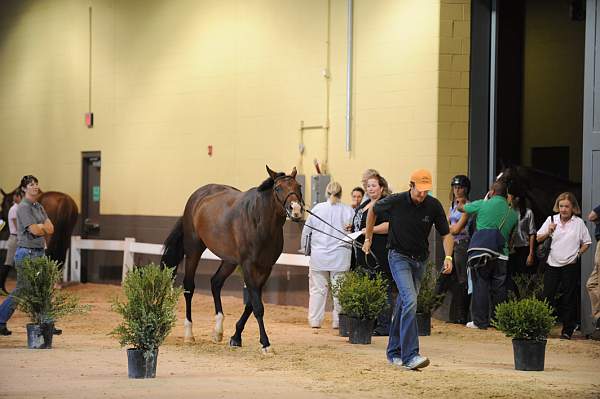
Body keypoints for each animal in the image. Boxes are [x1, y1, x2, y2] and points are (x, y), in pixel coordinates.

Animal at [159, 166, 302, 354]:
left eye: (299, 186)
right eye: (278, 188)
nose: (296, 210)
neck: (259, 221)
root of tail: (197, 196)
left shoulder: (266, 268)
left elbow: (251, 304)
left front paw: (236, 337)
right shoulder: (248, 266)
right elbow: (258, 306)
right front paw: (265, 343)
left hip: (229, 261)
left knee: (215, 282)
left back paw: (218, 331)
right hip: (193, 251)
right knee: (189, 287)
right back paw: (189, 334)